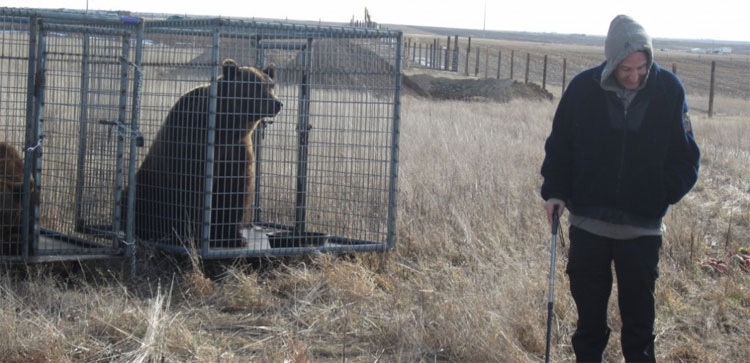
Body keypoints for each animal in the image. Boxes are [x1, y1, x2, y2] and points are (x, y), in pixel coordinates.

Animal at [134, 59, 284, 250]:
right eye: (256, 85)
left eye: (271, 85)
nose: (277, 103)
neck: (225, 129)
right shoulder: (193, 145)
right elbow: (193, 192)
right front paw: (193, 237)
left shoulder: (238, 151)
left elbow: (235, 192)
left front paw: (234, 237)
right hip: (147, 185)